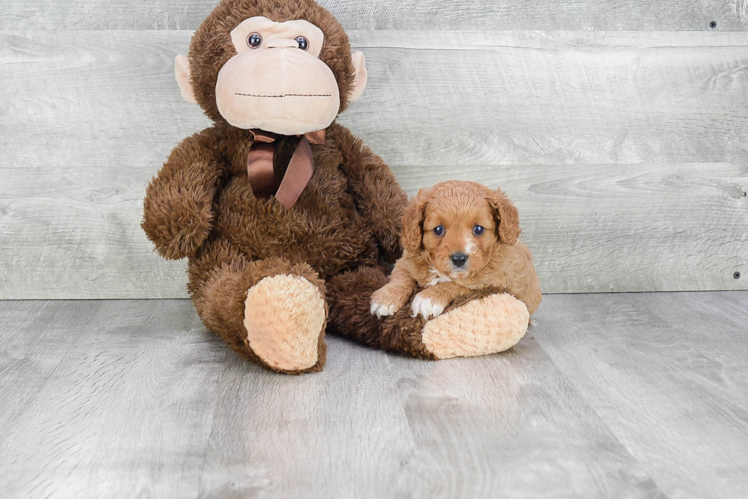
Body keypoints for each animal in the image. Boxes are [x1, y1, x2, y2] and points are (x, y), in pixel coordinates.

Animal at [372, 182, 540, 318]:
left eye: (478, 229)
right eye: (438, 229)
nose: (459, 259)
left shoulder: (494, 283)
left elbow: (458, 285)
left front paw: (428, 298)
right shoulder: (405, 261)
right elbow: (402, 277)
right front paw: (385, 299)